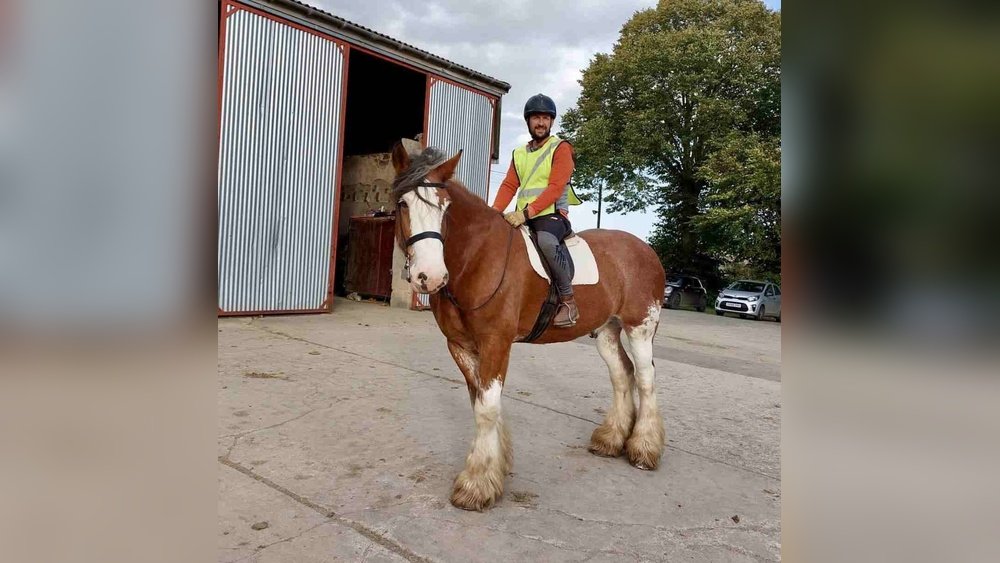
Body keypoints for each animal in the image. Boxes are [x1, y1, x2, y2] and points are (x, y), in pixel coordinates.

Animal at [390, 143, 667, 511]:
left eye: (445, 208)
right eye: (403, 204)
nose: (429, 277)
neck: (477, 258)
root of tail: (646, 249)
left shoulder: (496, 342)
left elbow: (486, 409)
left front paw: (476, 484)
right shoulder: (460, 345)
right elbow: (479, 402)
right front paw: (496, 468)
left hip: (640, 327)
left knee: (646, 378)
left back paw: (644, 449)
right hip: (607, 330)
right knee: (622, 374)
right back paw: (611, 439)